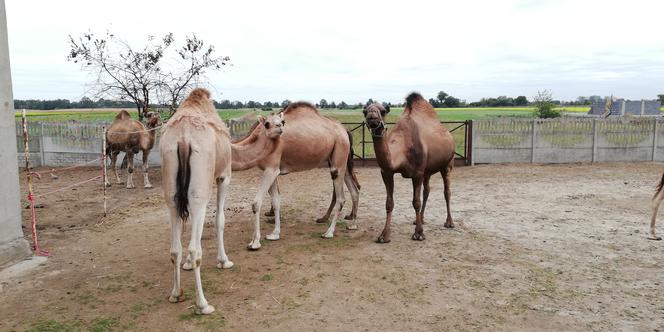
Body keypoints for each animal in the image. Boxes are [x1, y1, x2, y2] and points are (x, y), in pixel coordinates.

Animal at [162, 87, 284, 314]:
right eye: (268, 123)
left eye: (281, 120)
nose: (281, 127)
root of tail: (183, 139)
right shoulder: (224, 176)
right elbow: (220, 220)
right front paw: (224, 261)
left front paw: (187, 265)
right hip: (199, 189)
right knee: (195, 247)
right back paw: (203, 304)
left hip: (171, 189)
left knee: (174, 247)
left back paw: (176, 294)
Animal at [239, 101, 360, 249]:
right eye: (267, 124)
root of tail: (345, 131)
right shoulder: (270, 169)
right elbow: (275, 198)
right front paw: (274, 232)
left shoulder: (271, 167)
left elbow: (261, 200)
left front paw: (256, 241)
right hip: (342, 160)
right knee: (354, 190)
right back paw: (352, 225)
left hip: (339, 155)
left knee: (341, 196)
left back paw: (329, 232)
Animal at [364, 92, 456, 243]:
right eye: (364, 111)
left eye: (383, 111)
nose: (372, 116)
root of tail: (448, 134)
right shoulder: (387, 172)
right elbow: (389, 203)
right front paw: (384, 236)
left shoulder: (417, 172)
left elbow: (416, 202)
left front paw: (418, 234)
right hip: (427, 171)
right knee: (427, 190)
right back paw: (421, 219)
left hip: (447, 164)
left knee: (446, 191)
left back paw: (449, 222)